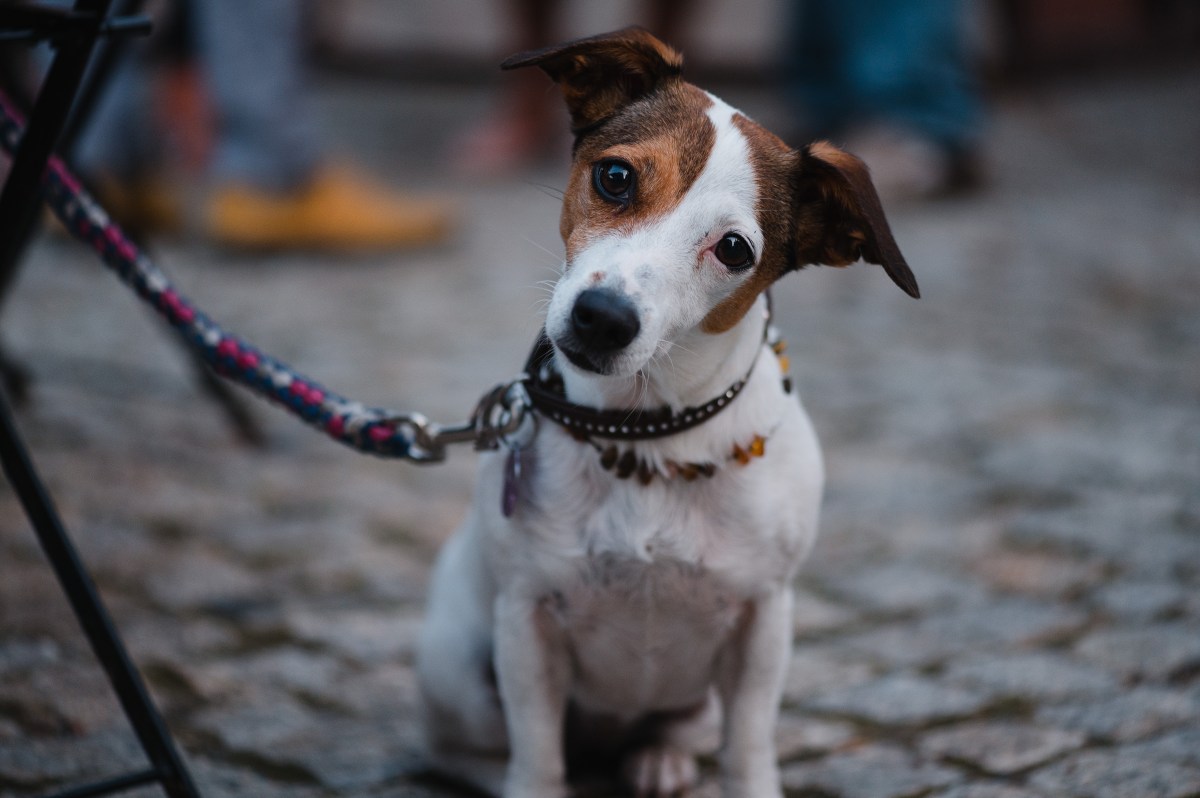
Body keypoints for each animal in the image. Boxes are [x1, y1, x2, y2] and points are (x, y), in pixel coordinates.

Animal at [415, 26, 916, 796]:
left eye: (734, 248)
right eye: (616, 177)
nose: (602, 317)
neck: (646, 432)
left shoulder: (764, 622)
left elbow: (748, 750)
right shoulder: (526, 620)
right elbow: (537, 758)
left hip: (698, 700)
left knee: (674, 730)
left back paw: (659, 759)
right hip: (457, 670)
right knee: (472, 749)